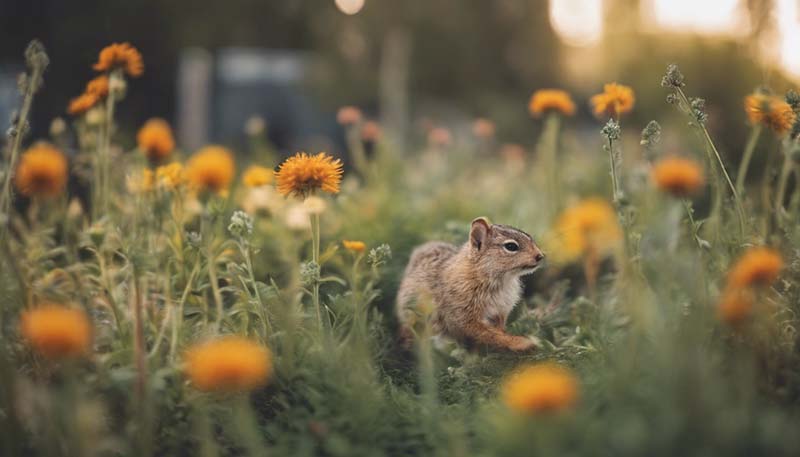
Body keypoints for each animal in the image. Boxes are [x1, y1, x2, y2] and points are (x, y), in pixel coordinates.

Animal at [396, 216, 548, 350]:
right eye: (511, 246)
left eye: (529, 236)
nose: (540, 256)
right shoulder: (464, 316)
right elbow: (489, 333)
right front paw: (522, 343)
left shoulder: (499, 313)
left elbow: (497, 330)